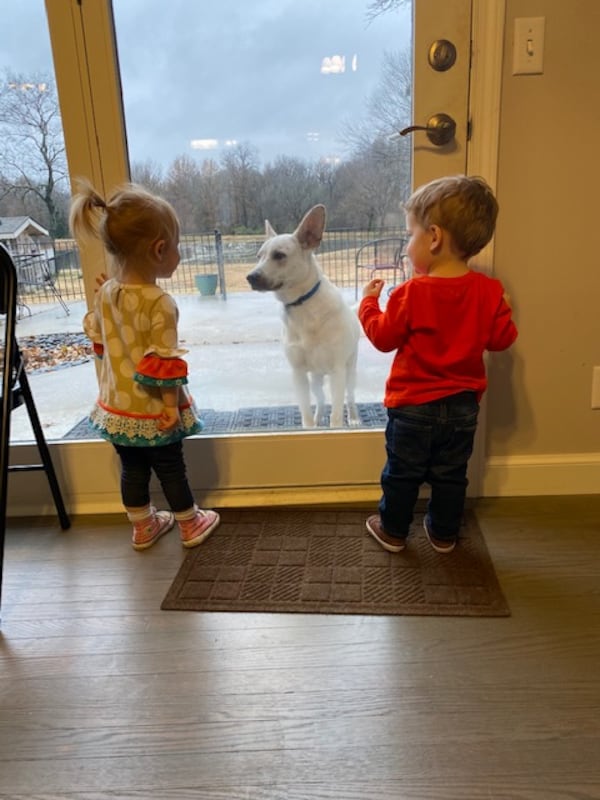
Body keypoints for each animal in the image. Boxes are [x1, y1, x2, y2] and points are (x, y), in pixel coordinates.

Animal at [246, 206, 358, 432]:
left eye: (279, 255)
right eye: (259, 256)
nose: (250, 277)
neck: (302, 305)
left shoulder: (338, 372)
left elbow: (336, 417)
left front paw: (337, 425)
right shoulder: (298, 374)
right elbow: (306, 415)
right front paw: (310, 427)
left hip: (349, 372)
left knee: (349, 398)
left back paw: (354, 418)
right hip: (315, 379)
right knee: (321, 401)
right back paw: (318, 418)